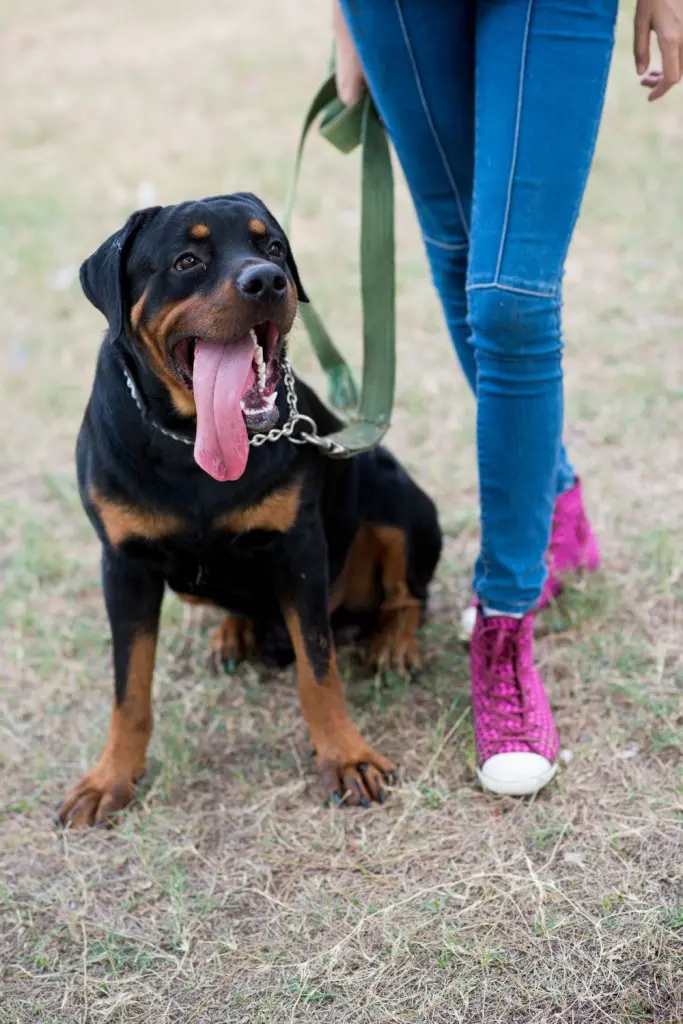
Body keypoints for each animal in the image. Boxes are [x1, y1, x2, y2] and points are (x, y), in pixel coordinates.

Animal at [58, 192, 444, 827]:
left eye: (274, 247)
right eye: (187, 260)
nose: (267, 280)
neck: (192, 441)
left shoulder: (300, 550)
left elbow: (319, 670)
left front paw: (345, 757)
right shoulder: (124, 564)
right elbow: (128, 689)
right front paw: (110, 777)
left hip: (397, 495)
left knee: (408, 594)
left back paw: (393, 643)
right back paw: (234, 632)